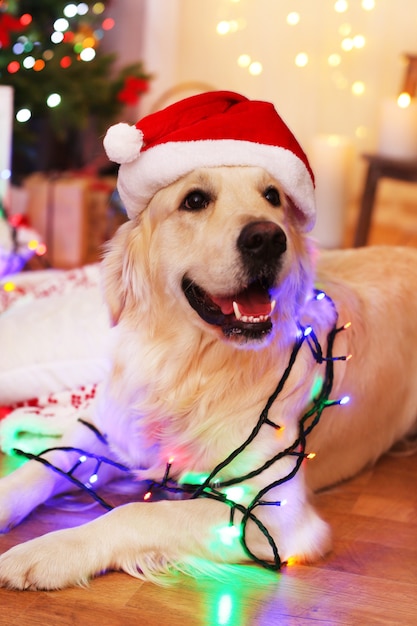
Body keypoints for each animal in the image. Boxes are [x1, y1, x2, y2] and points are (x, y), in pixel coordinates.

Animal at [0, 90, 416, 588]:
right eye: (194, 200)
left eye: (273, 196)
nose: (267, 238)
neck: (193, 366)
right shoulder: (108, 425)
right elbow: (39, 465)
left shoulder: (274, 512)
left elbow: (137, 514)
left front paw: (48, 550)